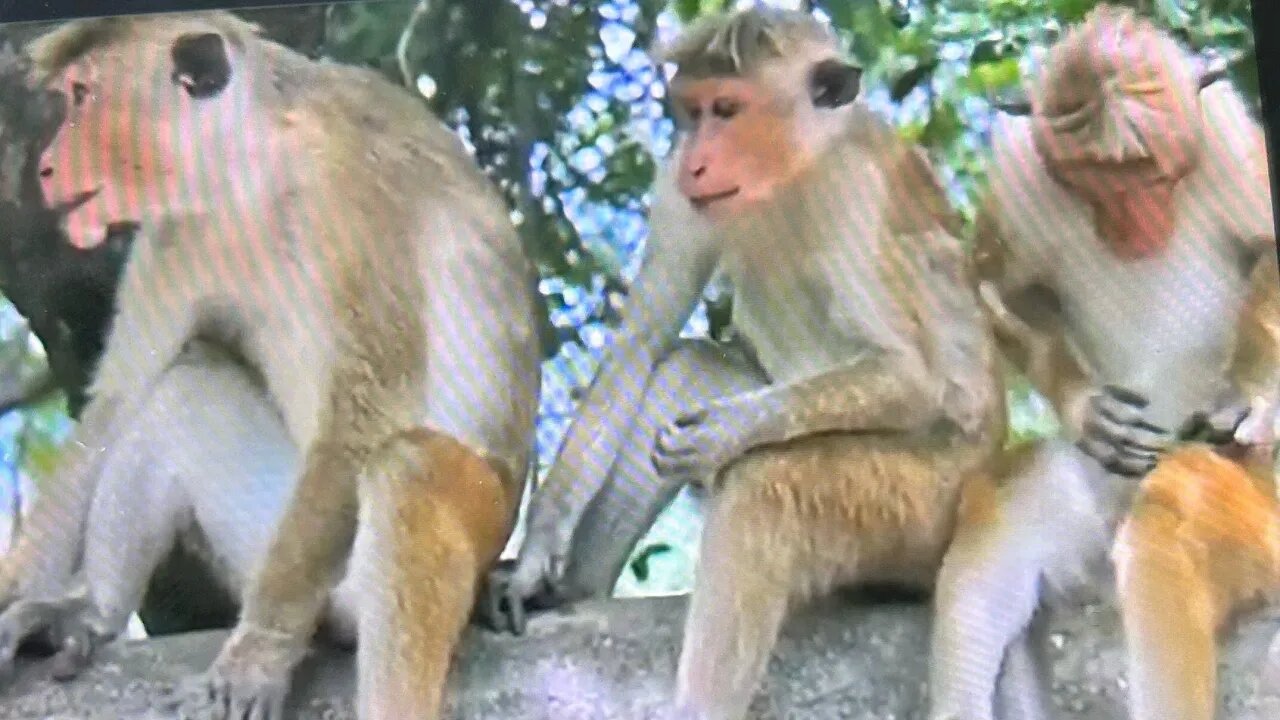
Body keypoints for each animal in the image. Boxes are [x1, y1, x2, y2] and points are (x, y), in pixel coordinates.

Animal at [0, 12, 541, 720]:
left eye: (83, 96)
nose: (45, 168)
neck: (251, 169)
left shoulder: (351, 192)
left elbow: (366, 412)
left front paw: (261, 648)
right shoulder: (174, 235)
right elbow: (117, 401)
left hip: (446, 543)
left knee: (410, 468)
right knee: (187, 382)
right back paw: (90, 611)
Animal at [486, 8, 1007, 718]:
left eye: (728, 109)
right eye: (693, 112)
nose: (697, 160)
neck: (795, 171)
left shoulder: (850, 190)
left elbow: (910, 375)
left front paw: (728, 432)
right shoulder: (678, 191)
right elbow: (641, 344)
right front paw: (537, 556)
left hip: (923, 509)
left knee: (768, 486)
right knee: (686, 370)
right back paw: (574, 589)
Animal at [926, 7, 1278, 720]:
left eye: (1145, 171)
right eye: (1093, 175)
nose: (1130, 223)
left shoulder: (1228, 141)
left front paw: (1252, 396)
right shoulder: (1021, 174)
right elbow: (991, 282)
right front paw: (1087, 409)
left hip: (1268, 518)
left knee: (1176, 505)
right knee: (1001, 511)